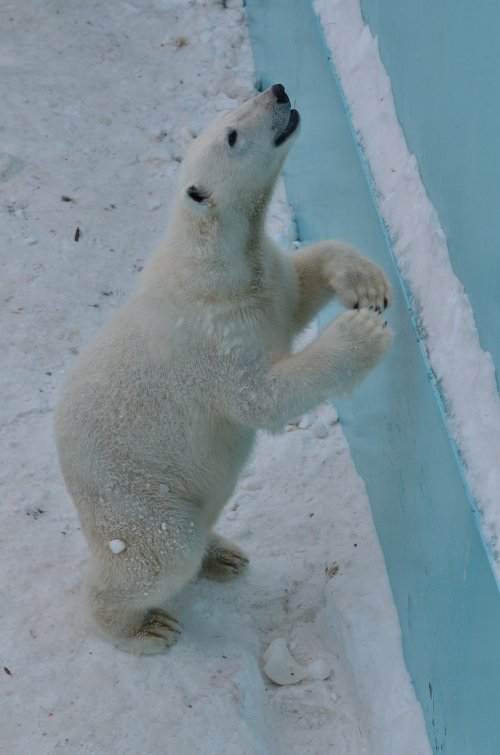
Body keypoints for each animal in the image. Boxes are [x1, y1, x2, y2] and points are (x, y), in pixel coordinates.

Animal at [53, 84, 390, 656]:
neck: (212, 264)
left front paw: (365, 281)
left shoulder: (262, 281)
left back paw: (225, 555)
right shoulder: (213, 339)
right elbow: (261, 397)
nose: (278, 90)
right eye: (232, 134)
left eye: (240, 104)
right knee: (160, 554)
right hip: (135, 498)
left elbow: (296, 286)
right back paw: (144, 627)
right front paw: (362, 333)